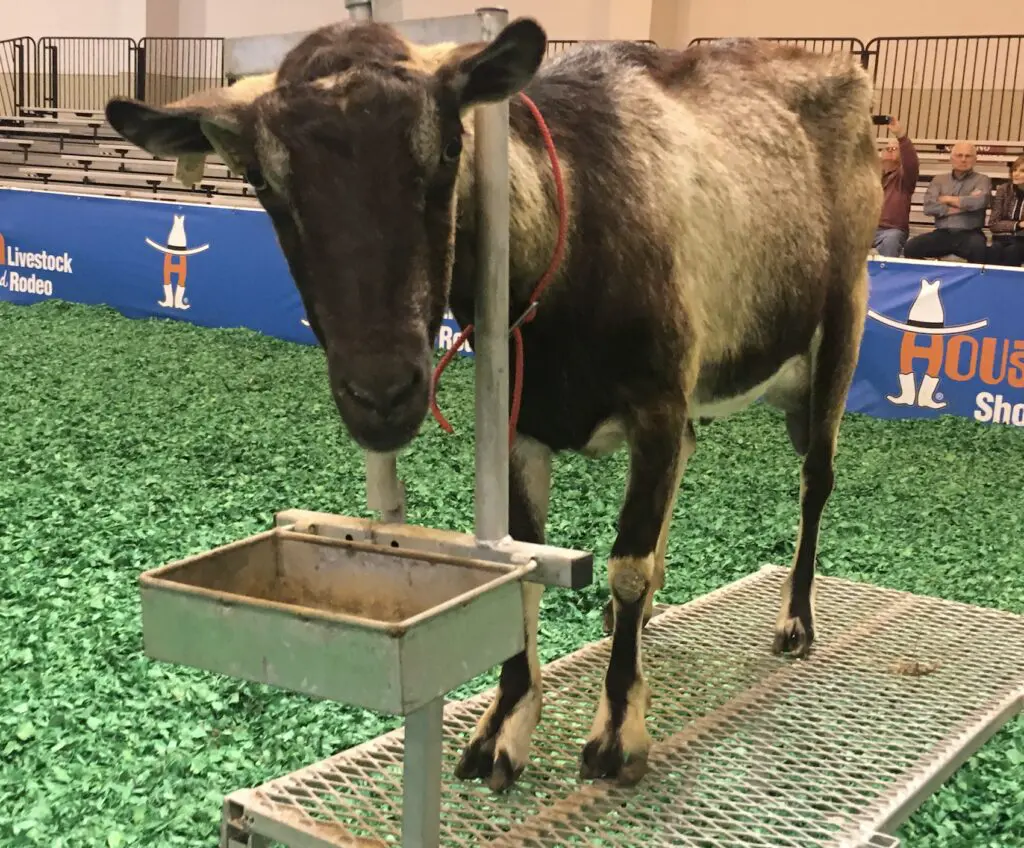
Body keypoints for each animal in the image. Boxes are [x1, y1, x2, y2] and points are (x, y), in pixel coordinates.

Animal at [104, 19, 881, 791]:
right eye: (262, 179)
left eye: (449, 147)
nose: (382, 395)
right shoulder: (522, 424)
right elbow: (522, 565)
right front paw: (502, 728)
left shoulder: (657, 401)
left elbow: (625, 563)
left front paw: (616, 736)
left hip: (843, 315)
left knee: (816, 479)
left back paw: (795, 623)